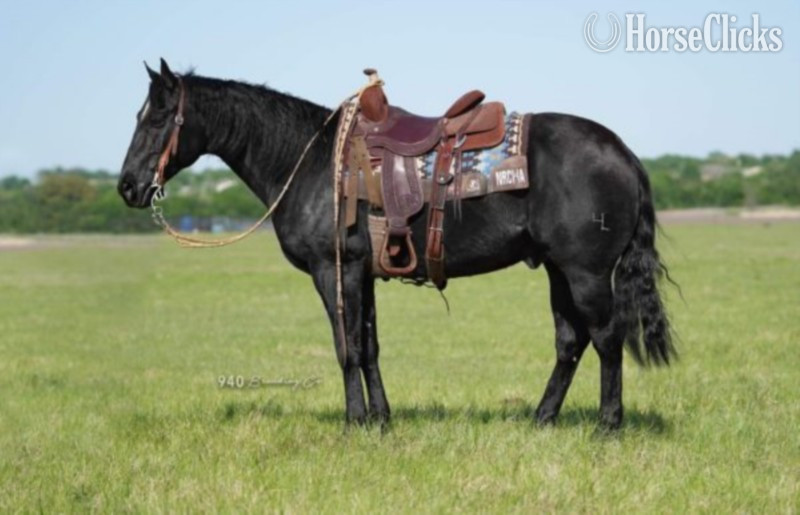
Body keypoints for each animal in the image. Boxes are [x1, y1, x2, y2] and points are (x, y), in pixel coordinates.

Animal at [118, 59, 675, 429]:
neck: (313, 161)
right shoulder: (362, 273)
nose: (127, 186)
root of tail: (623, 152)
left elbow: (345, 347)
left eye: (156, 119)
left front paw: (354, 421)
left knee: (606, 338)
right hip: (559, 270)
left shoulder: (334, 270)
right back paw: (542, 418)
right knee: (570, 341)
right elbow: (369, 346)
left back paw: (608, 424)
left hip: (586, 272)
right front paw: (380, 419)